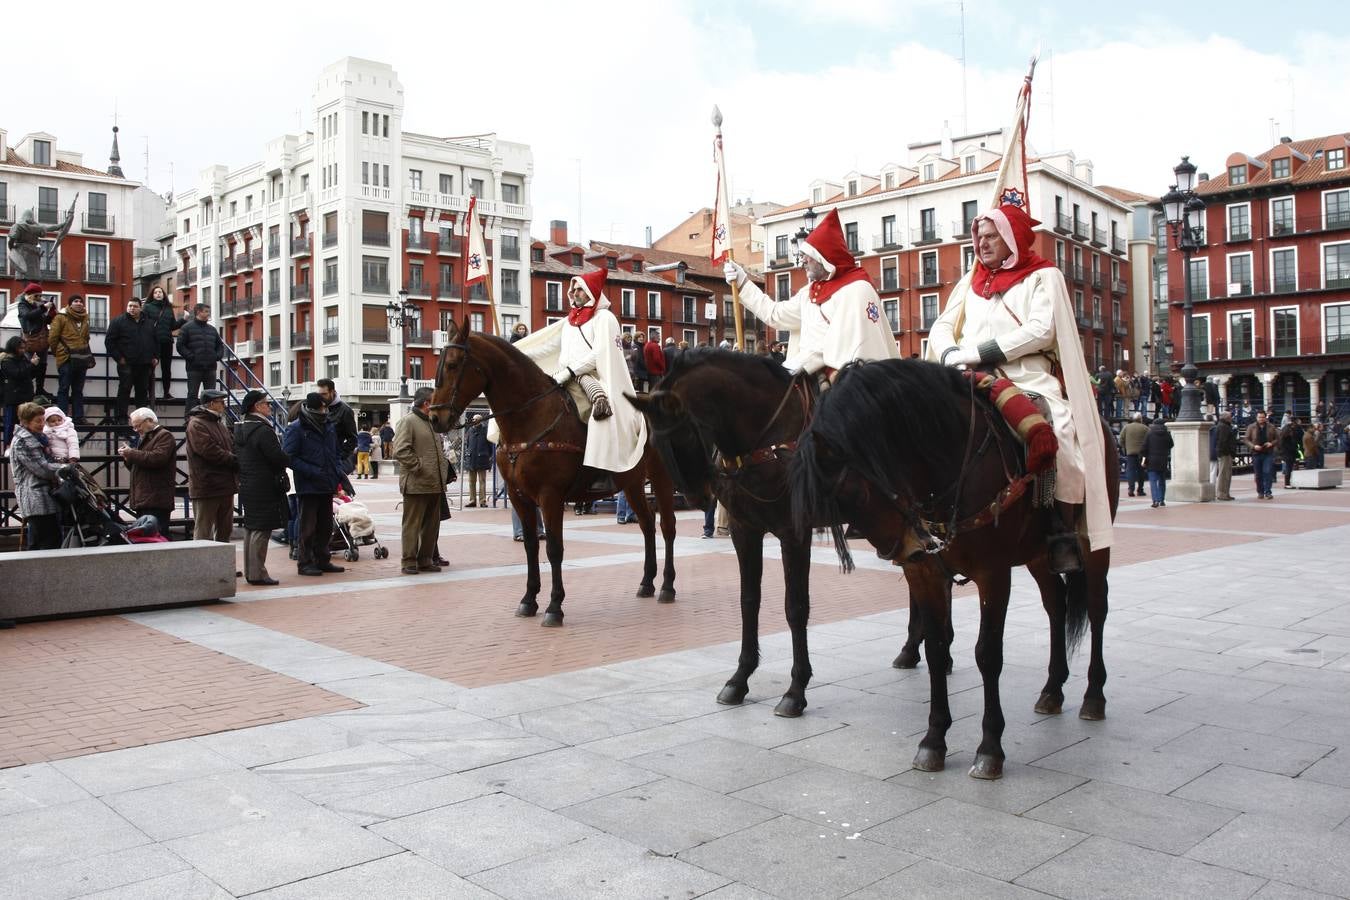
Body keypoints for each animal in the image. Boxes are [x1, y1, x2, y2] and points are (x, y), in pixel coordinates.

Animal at [429, 317, 680, 626]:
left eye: (453, 364)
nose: (435, 417)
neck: (530, 416)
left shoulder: (550, 496)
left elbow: (554, 549)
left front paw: (554, 606)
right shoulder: (519, 496)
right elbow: (531, 547)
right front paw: (528, 599)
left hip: (661, 478)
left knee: (667, 526)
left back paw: (667, 586)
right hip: (632, 482)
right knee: (647, 525)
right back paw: (647, 582)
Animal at [788, 358, 1117, 782]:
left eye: (846, 492)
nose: (907, 548)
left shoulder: (994, 573)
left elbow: (988, 654)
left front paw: (990, 748)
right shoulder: (925, 574)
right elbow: (935, 647)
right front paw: (933, 740)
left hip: (1094, 542)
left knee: (1096, 609)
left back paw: (1093, 697)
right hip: (1037, 556)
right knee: (1056, 606)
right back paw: (1052, 690)